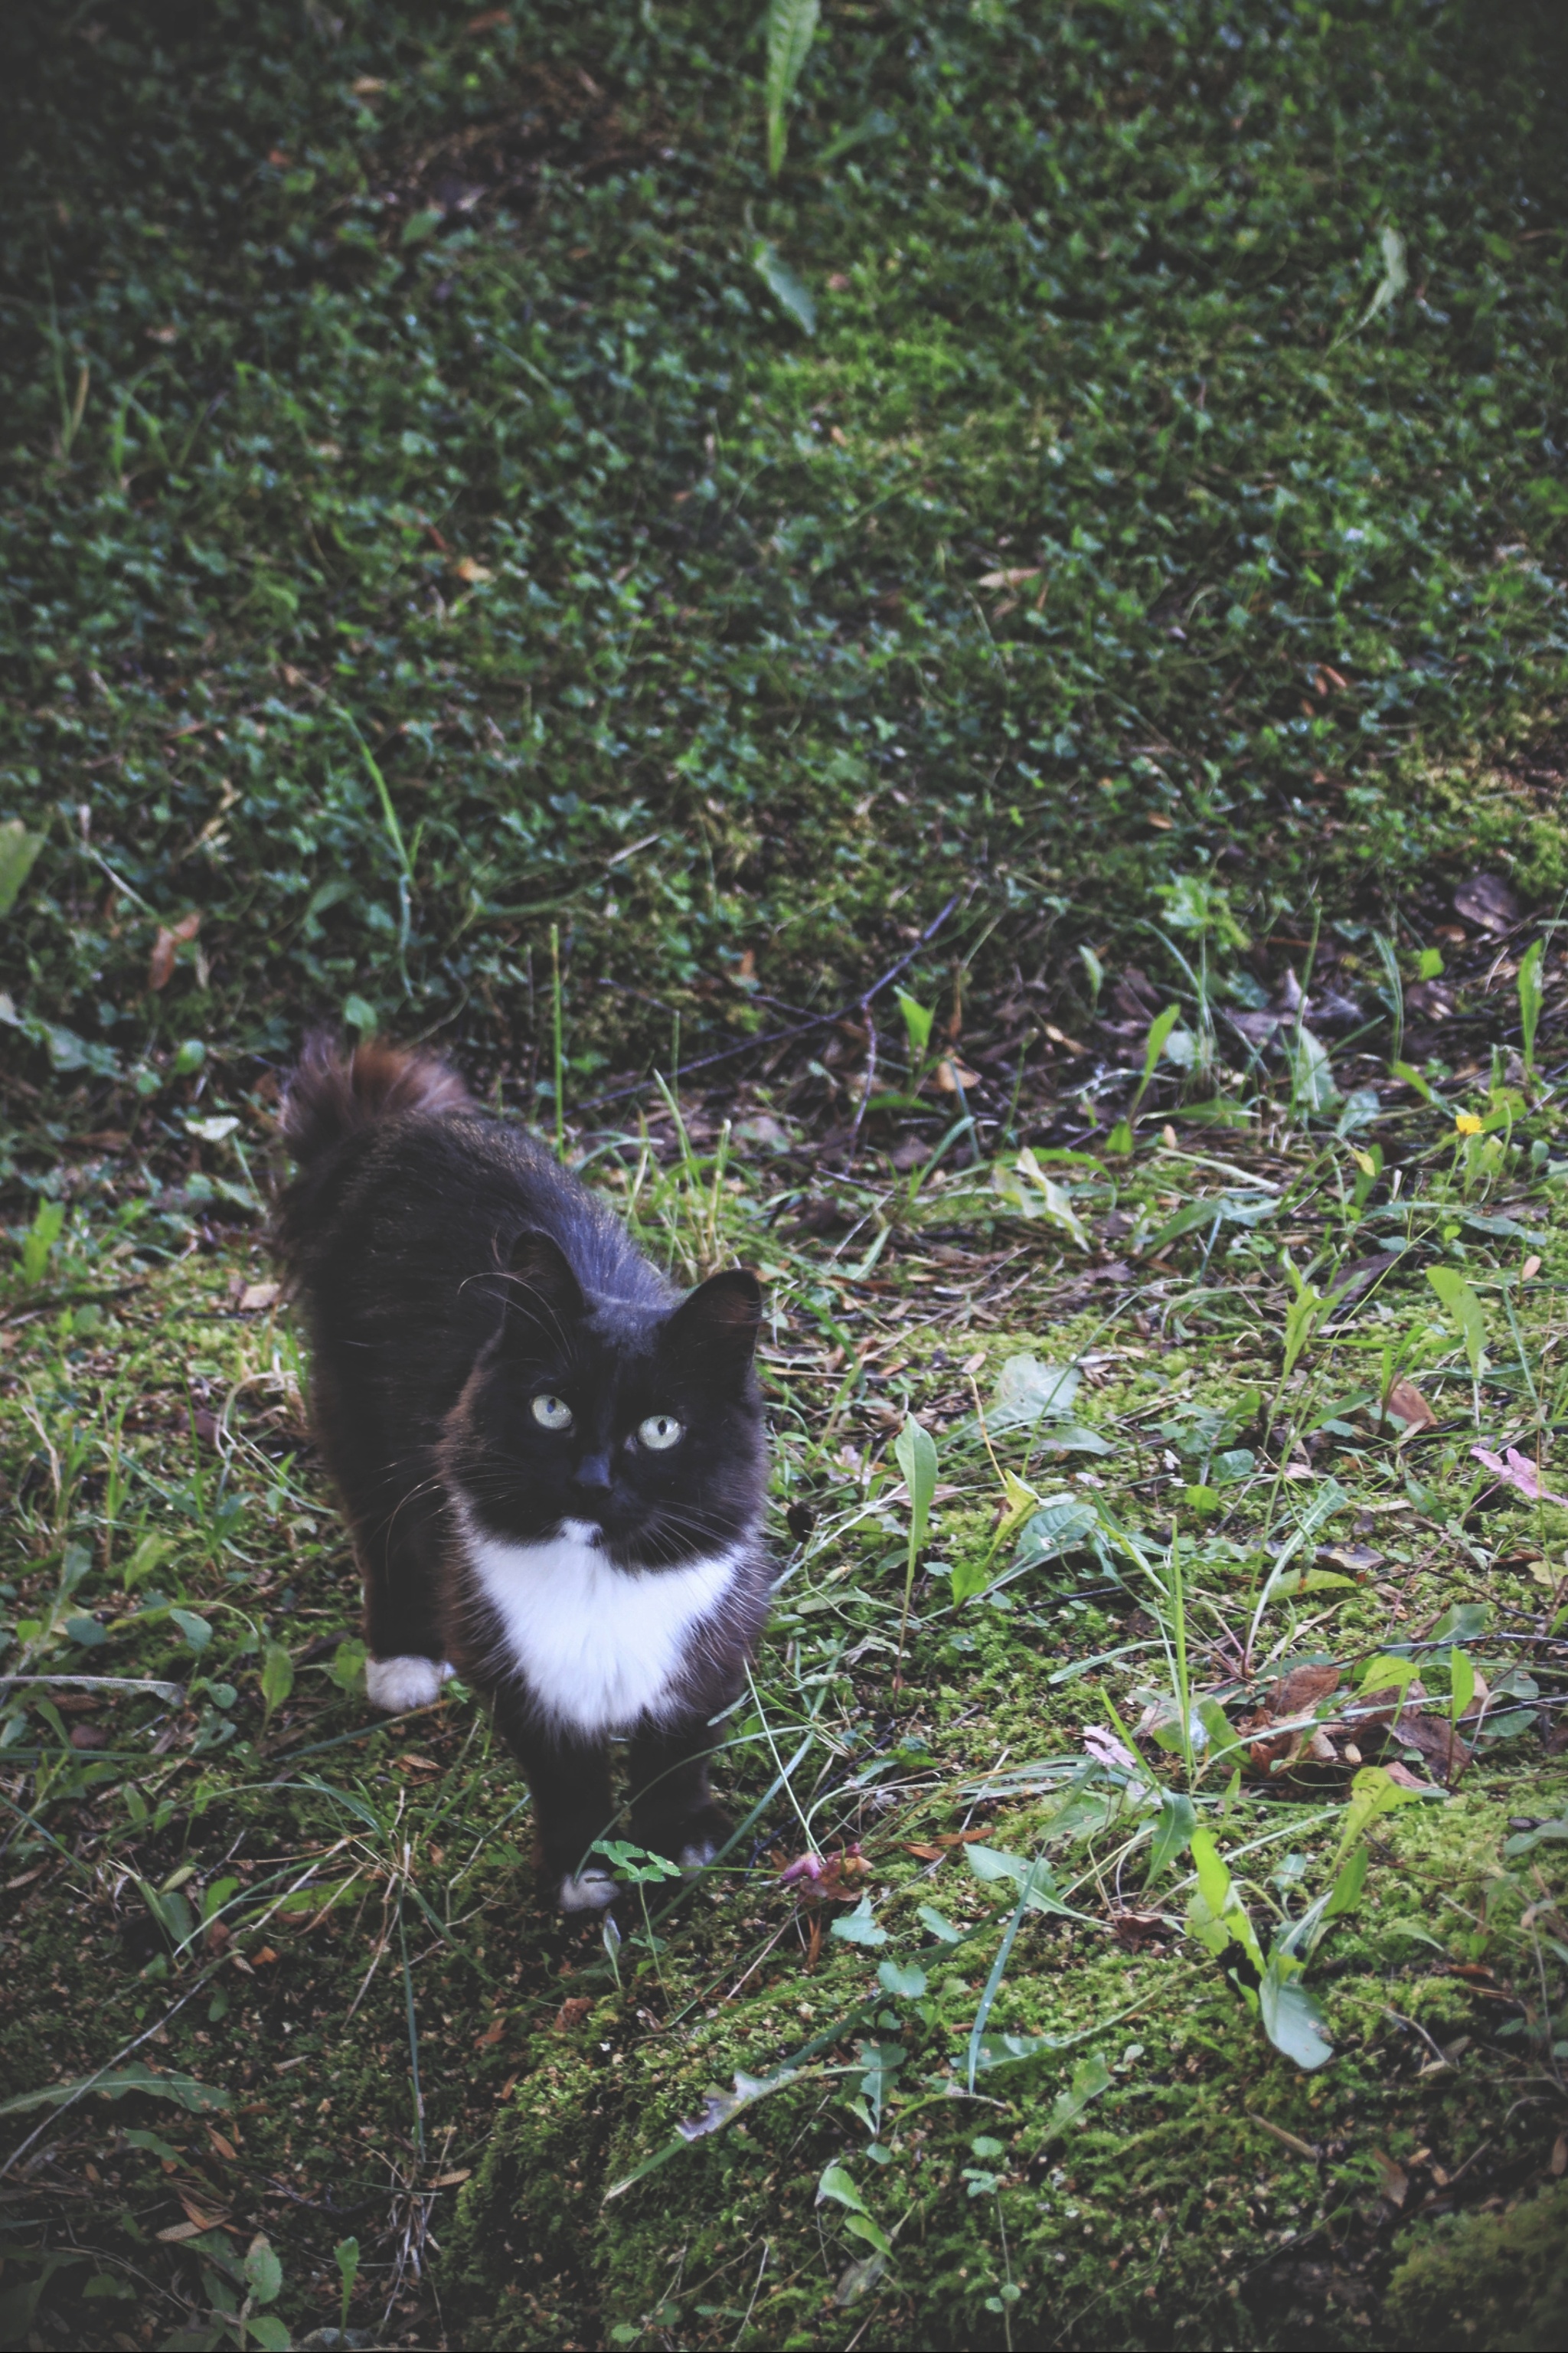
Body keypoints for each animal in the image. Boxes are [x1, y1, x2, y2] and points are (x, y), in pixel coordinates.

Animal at [279, 1044, 776, 1910]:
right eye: (552, 1409)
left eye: (660, 1429)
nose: (591, 1480)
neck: (599, 1577)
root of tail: (401, 1128)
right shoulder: (524, 1683)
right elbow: (566, 1781)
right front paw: (583, 1872)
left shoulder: (706, 1652)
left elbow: (679, 1754)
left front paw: (681, 1843)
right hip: (357, 1420)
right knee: (380, 1536)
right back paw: (402, 1661)